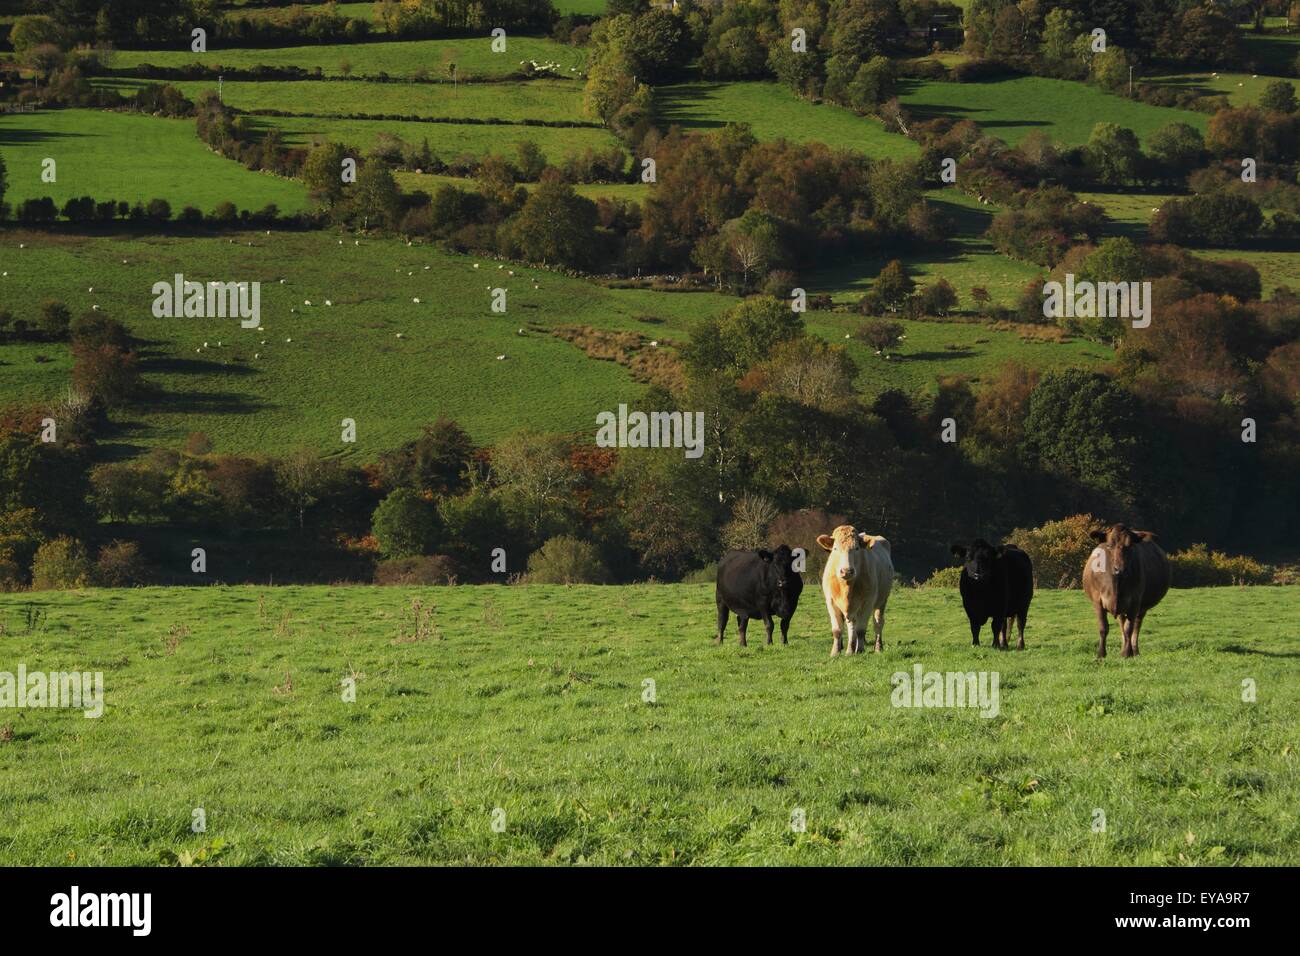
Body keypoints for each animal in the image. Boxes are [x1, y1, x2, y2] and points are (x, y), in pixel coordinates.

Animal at [1081, 522, 1175, 658]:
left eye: (1130, 546)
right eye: (1109, 545)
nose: (1120, 569)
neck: (1115, 584)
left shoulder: (1134, 602)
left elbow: (1129, 629)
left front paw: (1126, 653)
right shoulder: (1097, 601)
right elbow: (1103, 628)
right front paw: (1101, 654)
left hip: (1141, 607)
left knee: (1136, 626)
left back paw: (1134, 651)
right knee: (1122, 622)